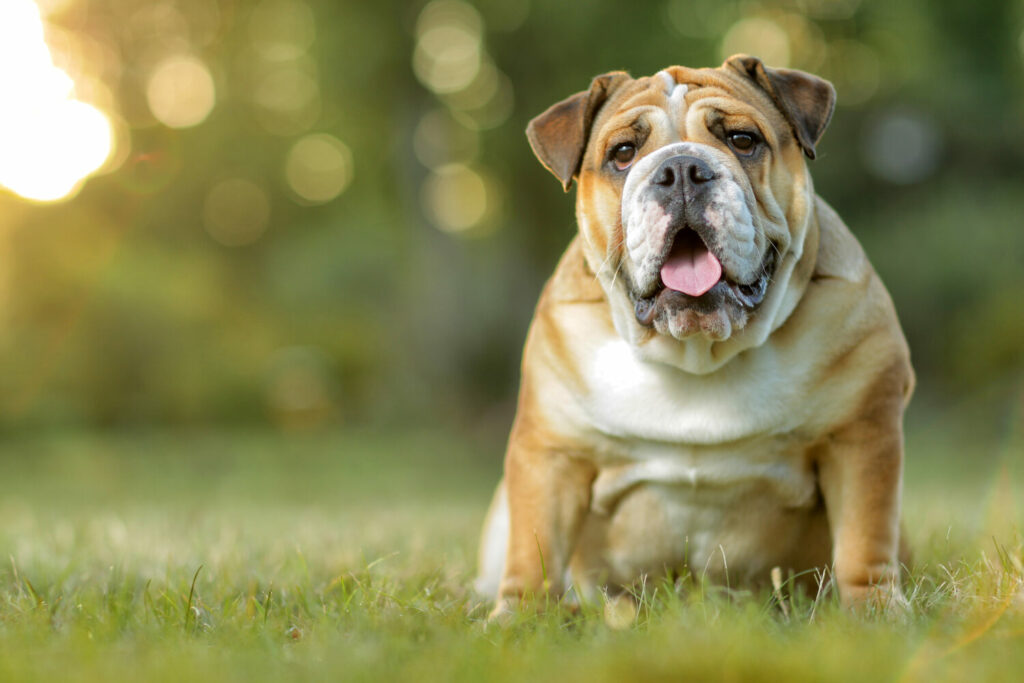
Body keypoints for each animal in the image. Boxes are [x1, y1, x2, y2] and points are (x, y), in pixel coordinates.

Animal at [475, 56, 917, 618]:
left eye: (743, 140)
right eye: (623, 153)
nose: (681, 169)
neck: (698, 353)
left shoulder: (862, 436)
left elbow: (865, 538)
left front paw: (875, 612)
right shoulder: (552, 453)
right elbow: (535, 547)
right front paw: (519, 617)